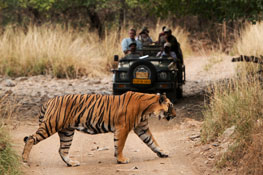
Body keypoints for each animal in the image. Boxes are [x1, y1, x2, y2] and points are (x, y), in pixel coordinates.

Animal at [21, 91, 176, 166]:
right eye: (171, 106)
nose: (175, 115)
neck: (148, 109)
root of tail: (50, 100)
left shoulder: (141, 128)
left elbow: (152, 142)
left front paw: (163, 153)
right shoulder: (123, 128)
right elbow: (120, 145)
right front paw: (121, 160)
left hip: (67, 132)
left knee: (62, 150)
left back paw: (72, 163)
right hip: (51, 125)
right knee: (31, 138)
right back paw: (24, 160)